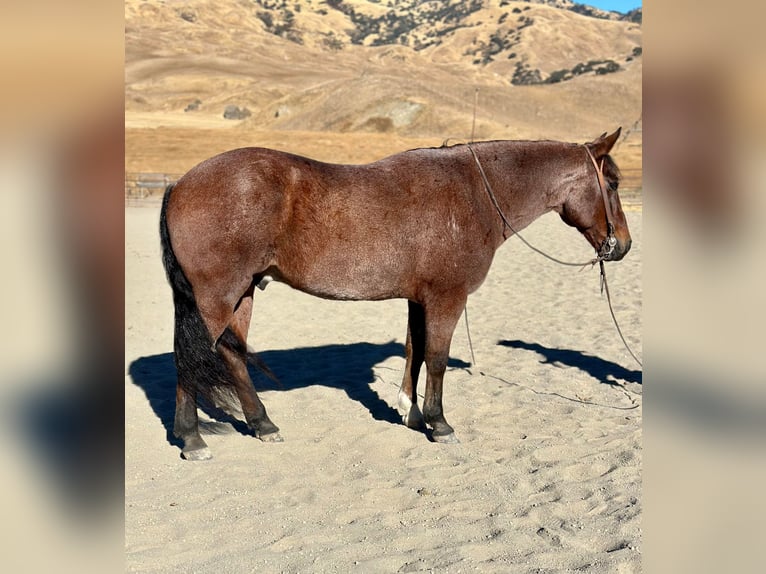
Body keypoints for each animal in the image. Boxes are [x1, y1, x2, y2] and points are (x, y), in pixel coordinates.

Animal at [159, 128, 632, 462]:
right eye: (611, 183)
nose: (623, 246)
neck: (473, 193)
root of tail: (180, 184)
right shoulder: (446, 297)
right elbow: (437, 359)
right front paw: (439, 424)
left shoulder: (418, 299)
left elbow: (415, 352)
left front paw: (412, 413)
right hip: (216, 298)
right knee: (190, 358)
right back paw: (193, 439)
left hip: (241, 294)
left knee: (231, 354)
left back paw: (262, 424)